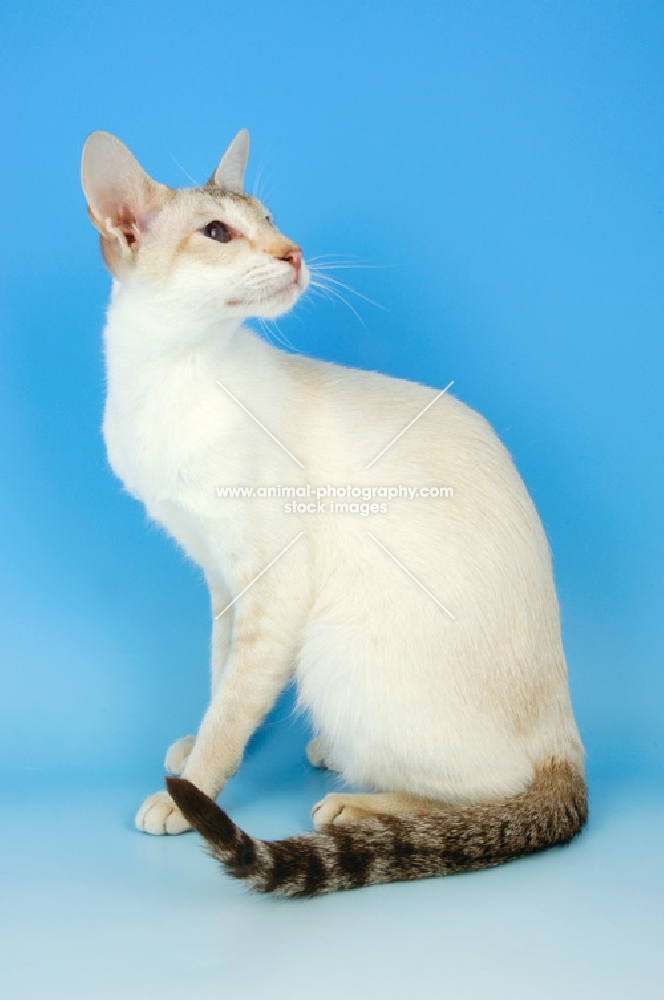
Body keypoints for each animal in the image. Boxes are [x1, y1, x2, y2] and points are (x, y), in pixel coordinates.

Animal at [80, 127, 584, 900]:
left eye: (271, 221)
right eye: (219, 233)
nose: (292, 253)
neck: (168, 377)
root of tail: (568, 738)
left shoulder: (271, 585)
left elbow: (232, 708)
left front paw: (189, 791)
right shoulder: (222, 579)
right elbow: (220, 677)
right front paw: (192, 750)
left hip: (329, 648)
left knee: (496, 788)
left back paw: (353, 803)